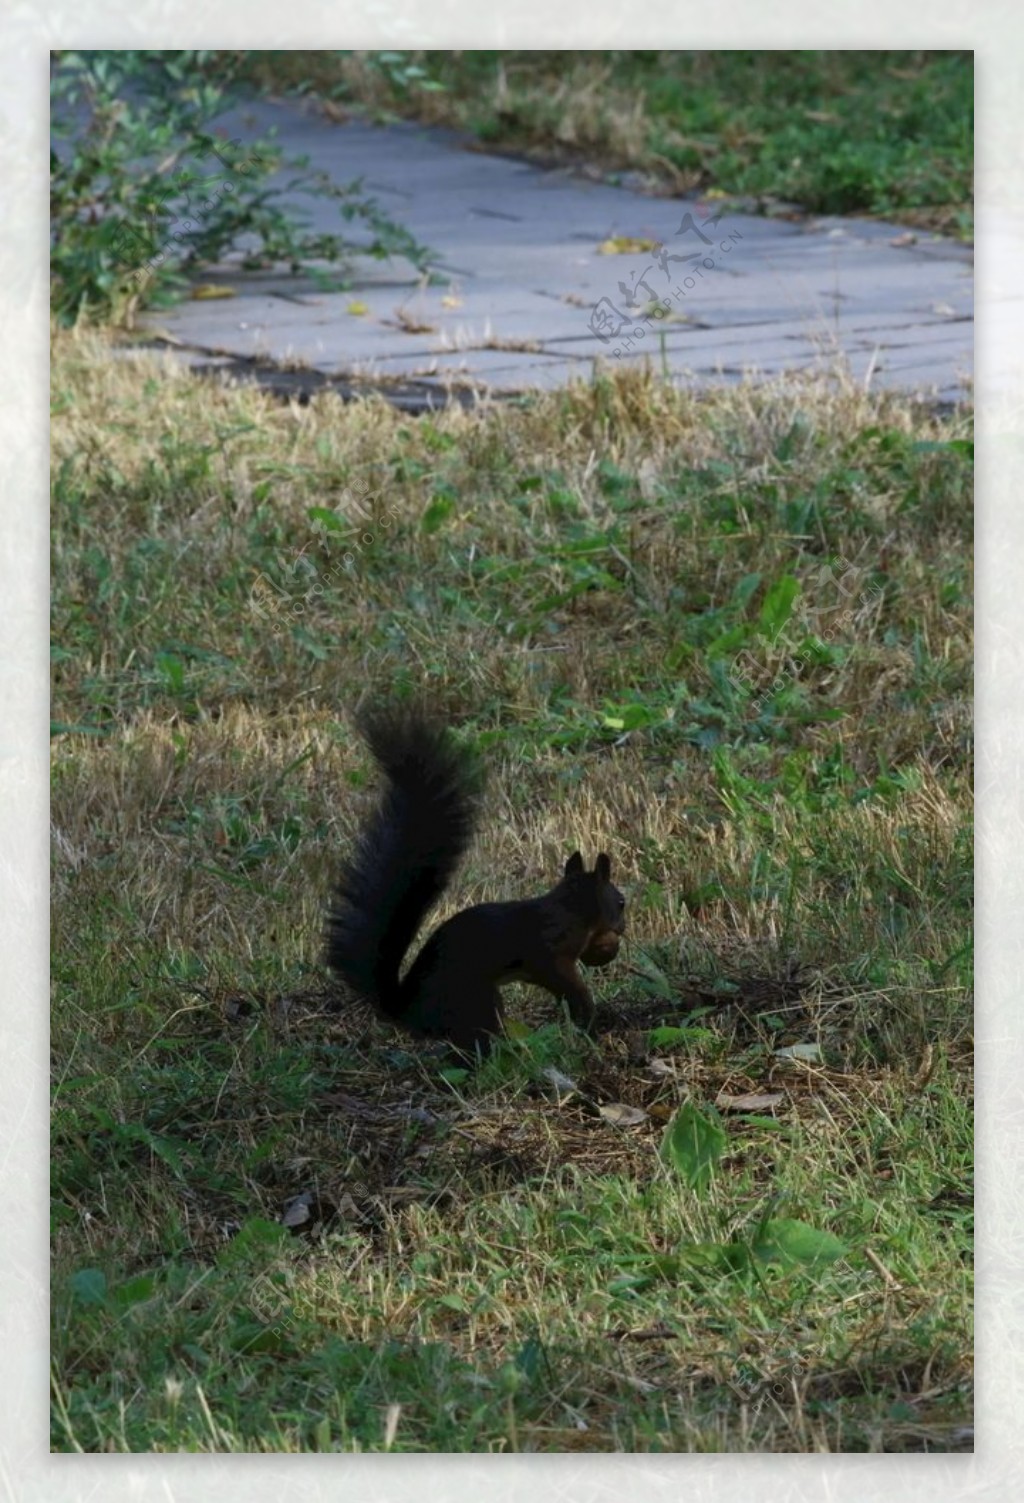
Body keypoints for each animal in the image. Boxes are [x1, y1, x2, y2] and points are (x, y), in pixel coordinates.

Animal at [327, 703, 622, 1058]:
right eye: (621, 902)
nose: (622, 928)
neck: (571, 906)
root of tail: (407, 1011)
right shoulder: (550, 949)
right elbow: (557, 975)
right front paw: (585, 1010)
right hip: (478, 1002)